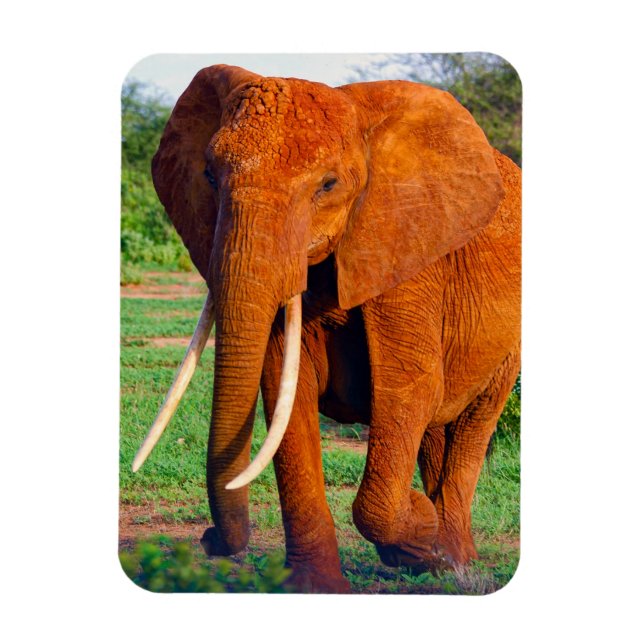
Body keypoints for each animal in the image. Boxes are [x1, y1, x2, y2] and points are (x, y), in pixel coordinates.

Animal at [131, 64, 521, 593]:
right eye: (209, 175)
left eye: (328, 185)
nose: (209, 540)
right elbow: (284, 394)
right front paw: (318, 588)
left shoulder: (406, 250)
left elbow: (409, 389)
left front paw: (419, 533)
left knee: (473, 422)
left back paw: (455, 564)